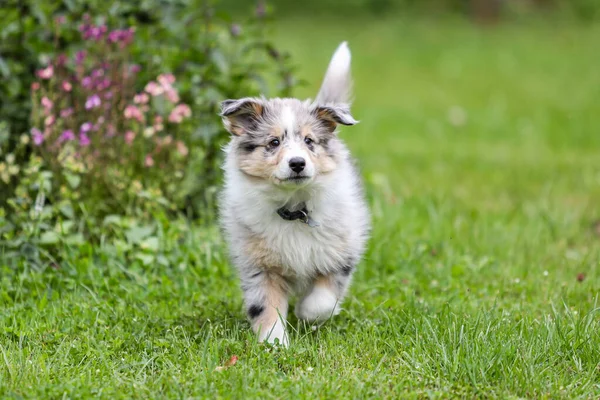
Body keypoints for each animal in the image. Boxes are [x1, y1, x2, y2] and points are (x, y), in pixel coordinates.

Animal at [220, 41, 370, 346]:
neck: (294, 207)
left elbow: (323, 299)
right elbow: (266, 306)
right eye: (274, 142)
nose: (297, 163)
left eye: (309, 141)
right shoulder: (259, 266)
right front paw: (275, 343)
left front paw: (305, 312)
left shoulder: (341, 252)